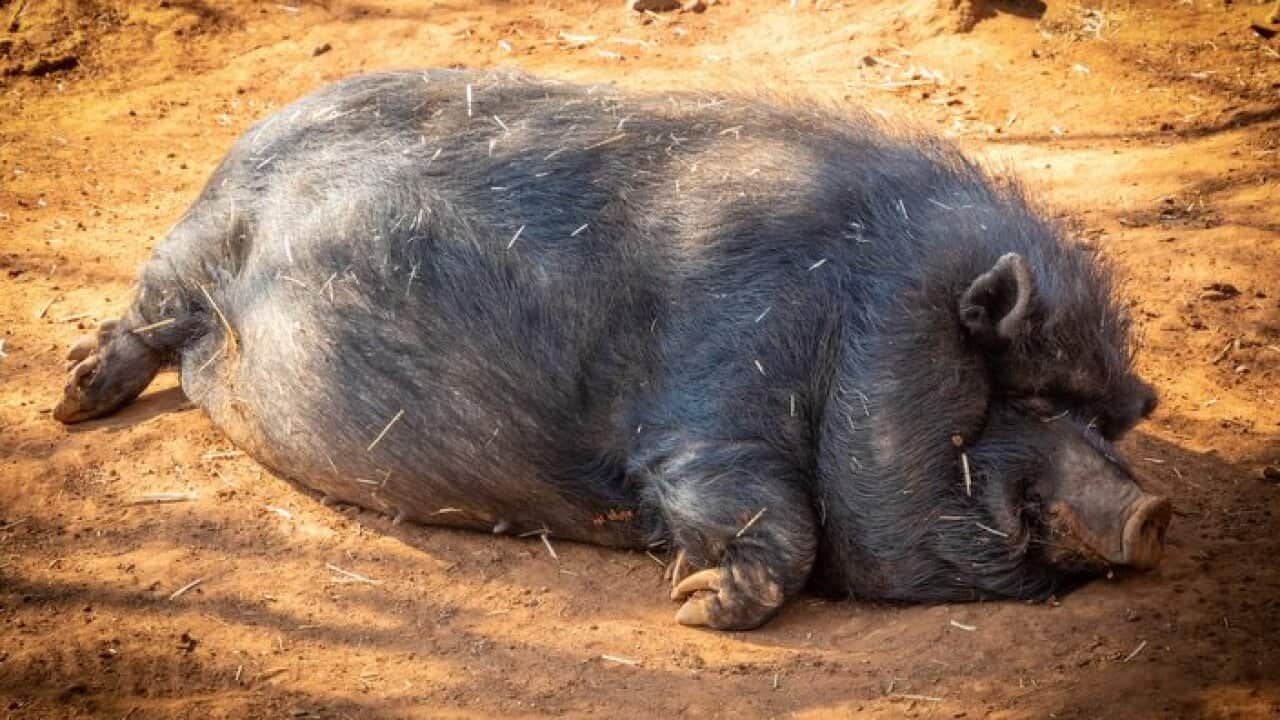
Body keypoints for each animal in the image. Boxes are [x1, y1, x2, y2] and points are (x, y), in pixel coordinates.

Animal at [54, 69, 1170, 630]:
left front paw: (688, 596)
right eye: (1029, 397)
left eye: (1105, 418)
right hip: (191, 247)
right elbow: (774, 518)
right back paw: (69, 403)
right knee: (144, 315)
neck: (855, 324)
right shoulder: (709, 405)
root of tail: (242, 142)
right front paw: (690, 607)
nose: (1153, 512)